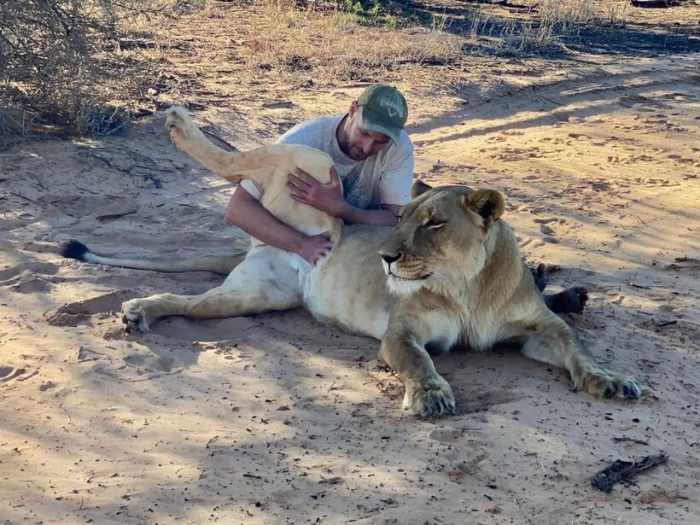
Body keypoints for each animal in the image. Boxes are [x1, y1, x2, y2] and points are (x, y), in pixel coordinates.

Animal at [63, 107, 644, 418]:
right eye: (401, 217)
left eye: (433, 223)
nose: (385, 257)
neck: (466, 286)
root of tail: (266, 246)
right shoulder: (402, 332)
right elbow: (420, 363)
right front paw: (430, 396)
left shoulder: (538, 329)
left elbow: (578, 346)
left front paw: (611, 380)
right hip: (311, 165)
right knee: (237, 162)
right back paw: (180, 124)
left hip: (253, 297)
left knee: (188, 300)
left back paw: (140, 311)